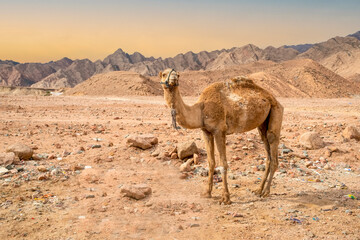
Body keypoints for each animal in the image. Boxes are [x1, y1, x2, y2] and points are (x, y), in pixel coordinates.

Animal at [160, 68, 284, 203]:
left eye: (178, 75)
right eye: (164, 74)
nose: (173, 78)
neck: (201, 109)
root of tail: (274, 99)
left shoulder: (219, 131)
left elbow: (223, 163)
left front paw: (225, 198)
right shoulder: (206, 132)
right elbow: (211, 162)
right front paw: (207, 193)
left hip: (276, 111)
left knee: (272, 143)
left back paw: (266, 192)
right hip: (262, 123)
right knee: (266, 148)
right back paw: (258, 190)